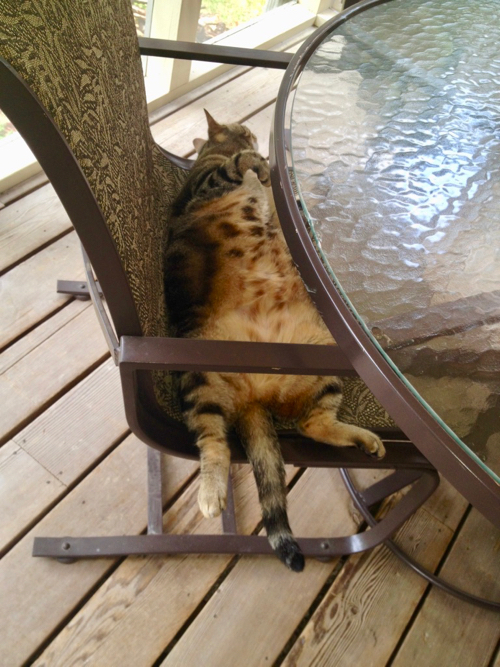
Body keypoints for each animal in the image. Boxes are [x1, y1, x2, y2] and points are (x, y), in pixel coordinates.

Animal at [162, 111, 384, 576]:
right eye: (244, 128)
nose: (253, 134)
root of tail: (254, 397)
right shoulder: (208, 181)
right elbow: (239, 166)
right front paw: (258, 165)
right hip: (198, 376)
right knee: (213, 441)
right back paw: (211, 493)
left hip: (327, 362)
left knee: (312, 424)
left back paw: (361, 437)